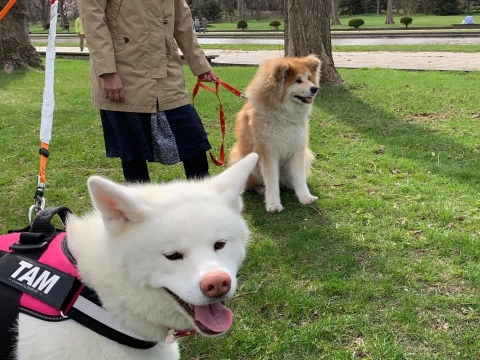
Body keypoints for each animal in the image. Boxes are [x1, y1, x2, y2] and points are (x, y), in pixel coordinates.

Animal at [230, 55, 320, 212]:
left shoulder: (298, 149)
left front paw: (305, 197)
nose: (315, 88)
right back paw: (261, 189)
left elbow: (300, 178)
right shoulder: (268, 152)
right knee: (253, 185)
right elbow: (271, 181)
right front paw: (273, 204)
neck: (284, 117)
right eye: (298, 80)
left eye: (309, 78)